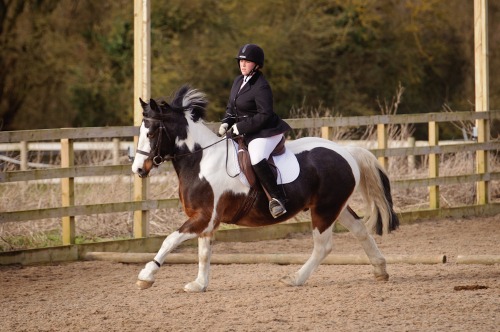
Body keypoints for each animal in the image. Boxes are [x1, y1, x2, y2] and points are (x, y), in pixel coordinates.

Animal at [132, 84, 398, 292]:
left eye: (152, 132)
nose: (138, 169)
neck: (201, 160)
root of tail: (346, 151)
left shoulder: (204, 217)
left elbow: (170, 240)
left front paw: (146, 275)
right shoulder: (207, 219)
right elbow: (204, 251)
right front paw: (199, 284)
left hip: (324, 210)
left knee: (323, 246)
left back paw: (294, 279)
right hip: (335, 207)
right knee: (359, 230)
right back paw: (381, 269)